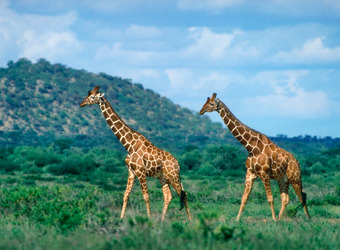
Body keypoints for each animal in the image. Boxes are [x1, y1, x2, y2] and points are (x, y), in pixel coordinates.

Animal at [80, 86, 191, 221]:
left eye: (92, 97)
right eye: (87, 95)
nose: (81, 104)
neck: (129, 144)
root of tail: (178, 164)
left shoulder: (141, 172)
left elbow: (146, 196)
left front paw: (148, 219)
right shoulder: (131, 172)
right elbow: (126, 195)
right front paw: (121, 219)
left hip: (173, 176)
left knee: (184, 194)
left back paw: (190, 221)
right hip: (163, 177)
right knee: (168, 196)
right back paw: (162, 220)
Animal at [199, 93, 310, 221]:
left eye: (211, 103)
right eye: (205, 102)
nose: (201, 111)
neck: (251, 148)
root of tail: (297, 163)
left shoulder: (264, 174)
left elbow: (270, 199)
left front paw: (273, 220)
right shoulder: (250, 173)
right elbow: (244, 198)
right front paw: (237, 220)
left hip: (295, 177)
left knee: (302, 196)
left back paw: (307, 219)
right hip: (283, 179)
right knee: (285, 198)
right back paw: (280, 218)